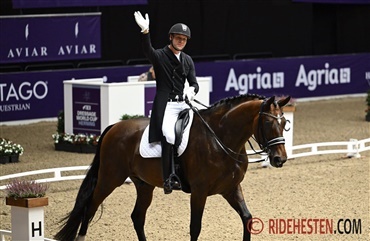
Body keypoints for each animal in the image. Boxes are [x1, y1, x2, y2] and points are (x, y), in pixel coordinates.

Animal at [55, 93, 292, 240]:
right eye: (269, 123)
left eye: (284, 123)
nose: (279, 159)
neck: (220, 138)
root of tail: (114, 126)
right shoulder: (199, 191)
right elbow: (195, 228)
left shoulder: (231, 188)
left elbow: (247, 219)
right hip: (110, 178)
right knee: (90, 207)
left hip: (144, 185)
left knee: (137, 217)